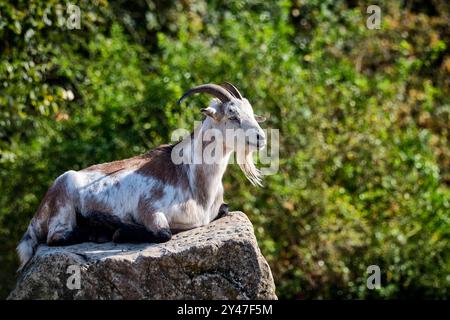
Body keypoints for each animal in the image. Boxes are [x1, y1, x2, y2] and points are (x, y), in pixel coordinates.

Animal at [15, 82, 266, 270]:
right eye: (232, 116)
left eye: (251, 112)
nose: (261, 138)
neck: (193, 176)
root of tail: (36, 217)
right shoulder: (149, 209)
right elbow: (164, 234)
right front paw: (120, 230)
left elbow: (225, 208)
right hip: (63, 202)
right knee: (56, 238)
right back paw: (100, 229)